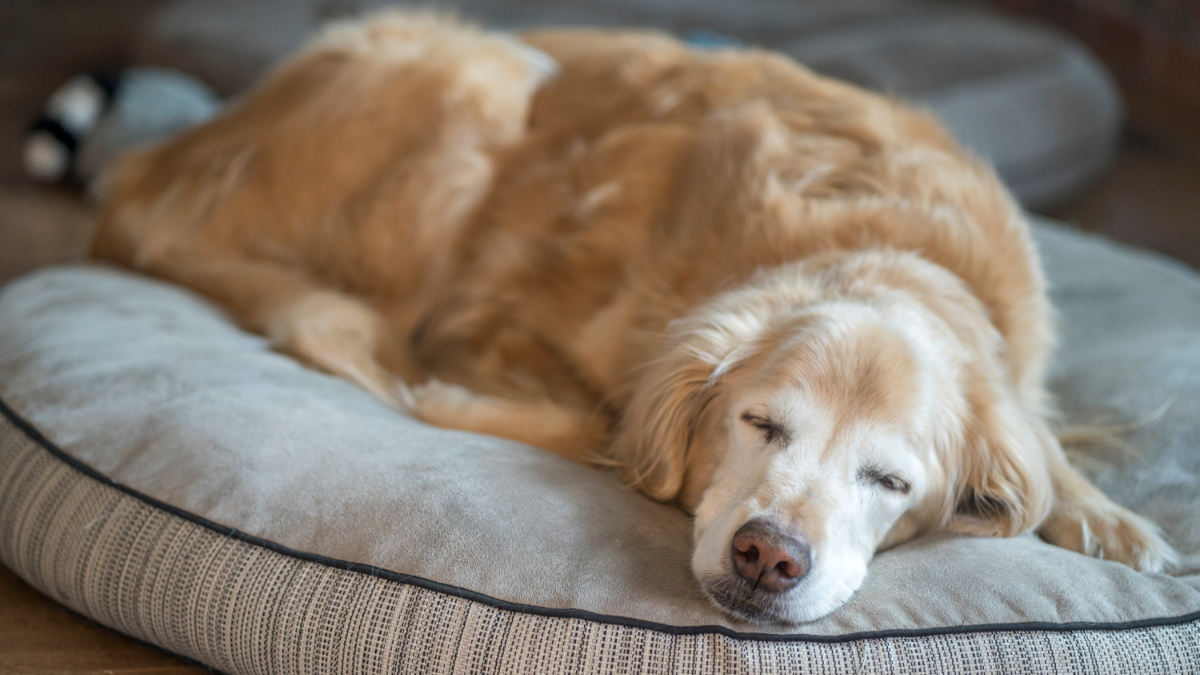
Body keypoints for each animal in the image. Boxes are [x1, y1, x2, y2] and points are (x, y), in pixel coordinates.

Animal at [91, 11, 1171, 619]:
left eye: (891, 480)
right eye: (759, 422)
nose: (769, 556)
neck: (892, 246)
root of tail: (155, 163)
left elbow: (1045, 450)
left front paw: (1110, 522)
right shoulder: (514, 318)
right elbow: (588, 415)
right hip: (491, 77)